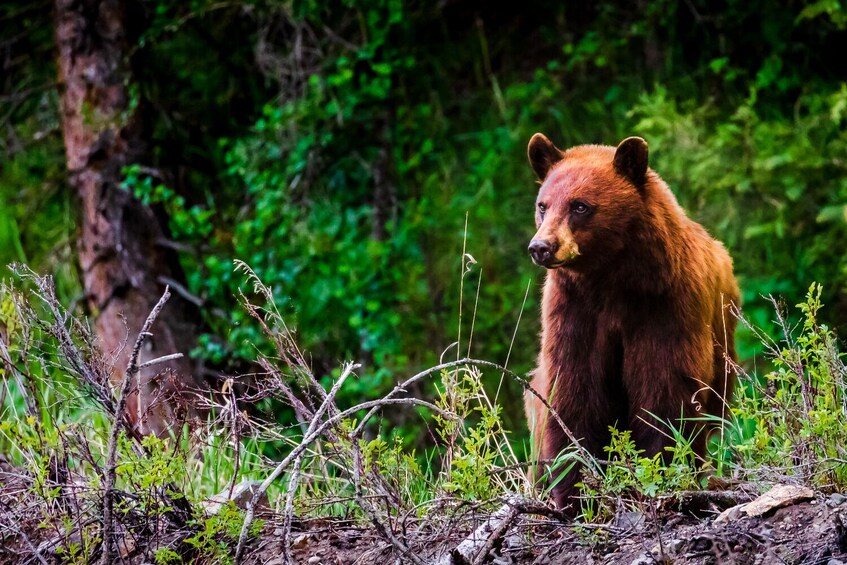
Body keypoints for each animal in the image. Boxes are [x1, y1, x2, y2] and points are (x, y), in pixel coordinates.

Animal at [528, 133, 740, 512]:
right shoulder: (573, 310)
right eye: (543, 205)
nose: (541, 247)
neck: (612, 278)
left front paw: (660, 475)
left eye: (580, 206)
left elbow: (664, 387)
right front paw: (576, 493)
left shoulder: (665, 305)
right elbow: (574, 387)